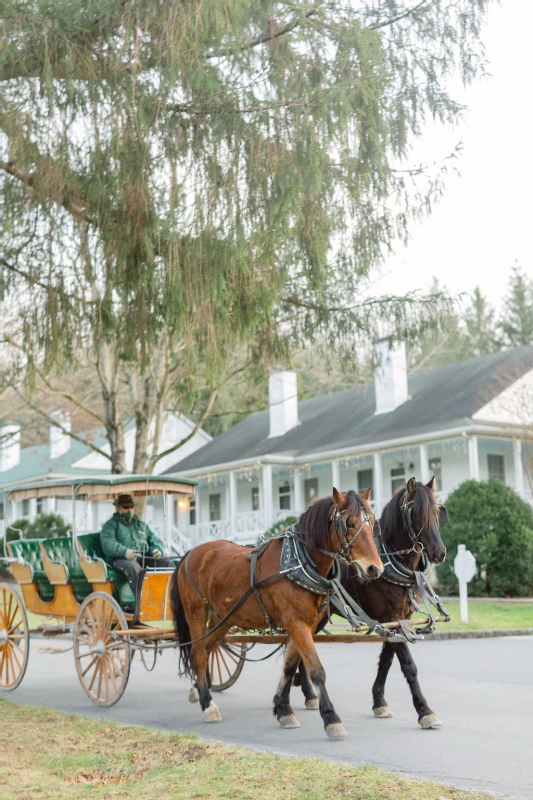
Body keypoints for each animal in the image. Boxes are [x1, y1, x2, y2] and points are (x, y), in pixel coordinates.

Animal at [170, 484, 382, 740]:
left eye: (373, 521)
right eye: (349, 523)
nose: (374, 568)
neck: (300, 562)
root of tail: (190, 553)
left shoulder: (305, 624)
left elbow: (289, 667)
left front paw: (283, 710)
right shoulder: (296, 623)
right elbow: (316, 670)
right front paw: (331, 719)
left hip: (224, 617)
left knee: (207, 648)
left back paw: (198, 691)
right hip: (196, 614)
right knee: (199, 653)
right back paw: (208, 705)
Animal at [296, 478, 448, 728]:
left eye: (437, 512)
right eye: (416, 514)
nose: (439, 552)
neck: (392, 561)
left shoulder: (398, 620)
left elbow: (387, 660)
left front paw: (379, 702)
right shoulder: (391, 617)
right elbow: (408, 664)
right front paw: (424, 710)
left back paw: (307, 692)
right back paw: (307, 693)